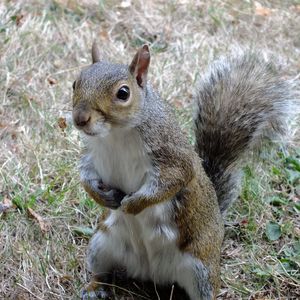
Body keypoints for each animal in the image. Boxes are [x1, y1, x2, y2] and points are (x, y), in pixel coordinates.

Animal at [71, 42, 298, 300]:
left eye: (123, 93)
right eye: (75, 83)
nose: (80, 119)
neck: (115, 134)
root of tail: (151, 273)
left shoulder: (173, 156)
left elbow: (172, 181)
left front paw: (132, 205)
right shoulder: (92, 154)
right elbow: (85, 174)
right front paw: (100, 195)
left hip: (200, 269)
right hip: (101, 244)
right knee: (100, 271)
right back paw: (94, 287)